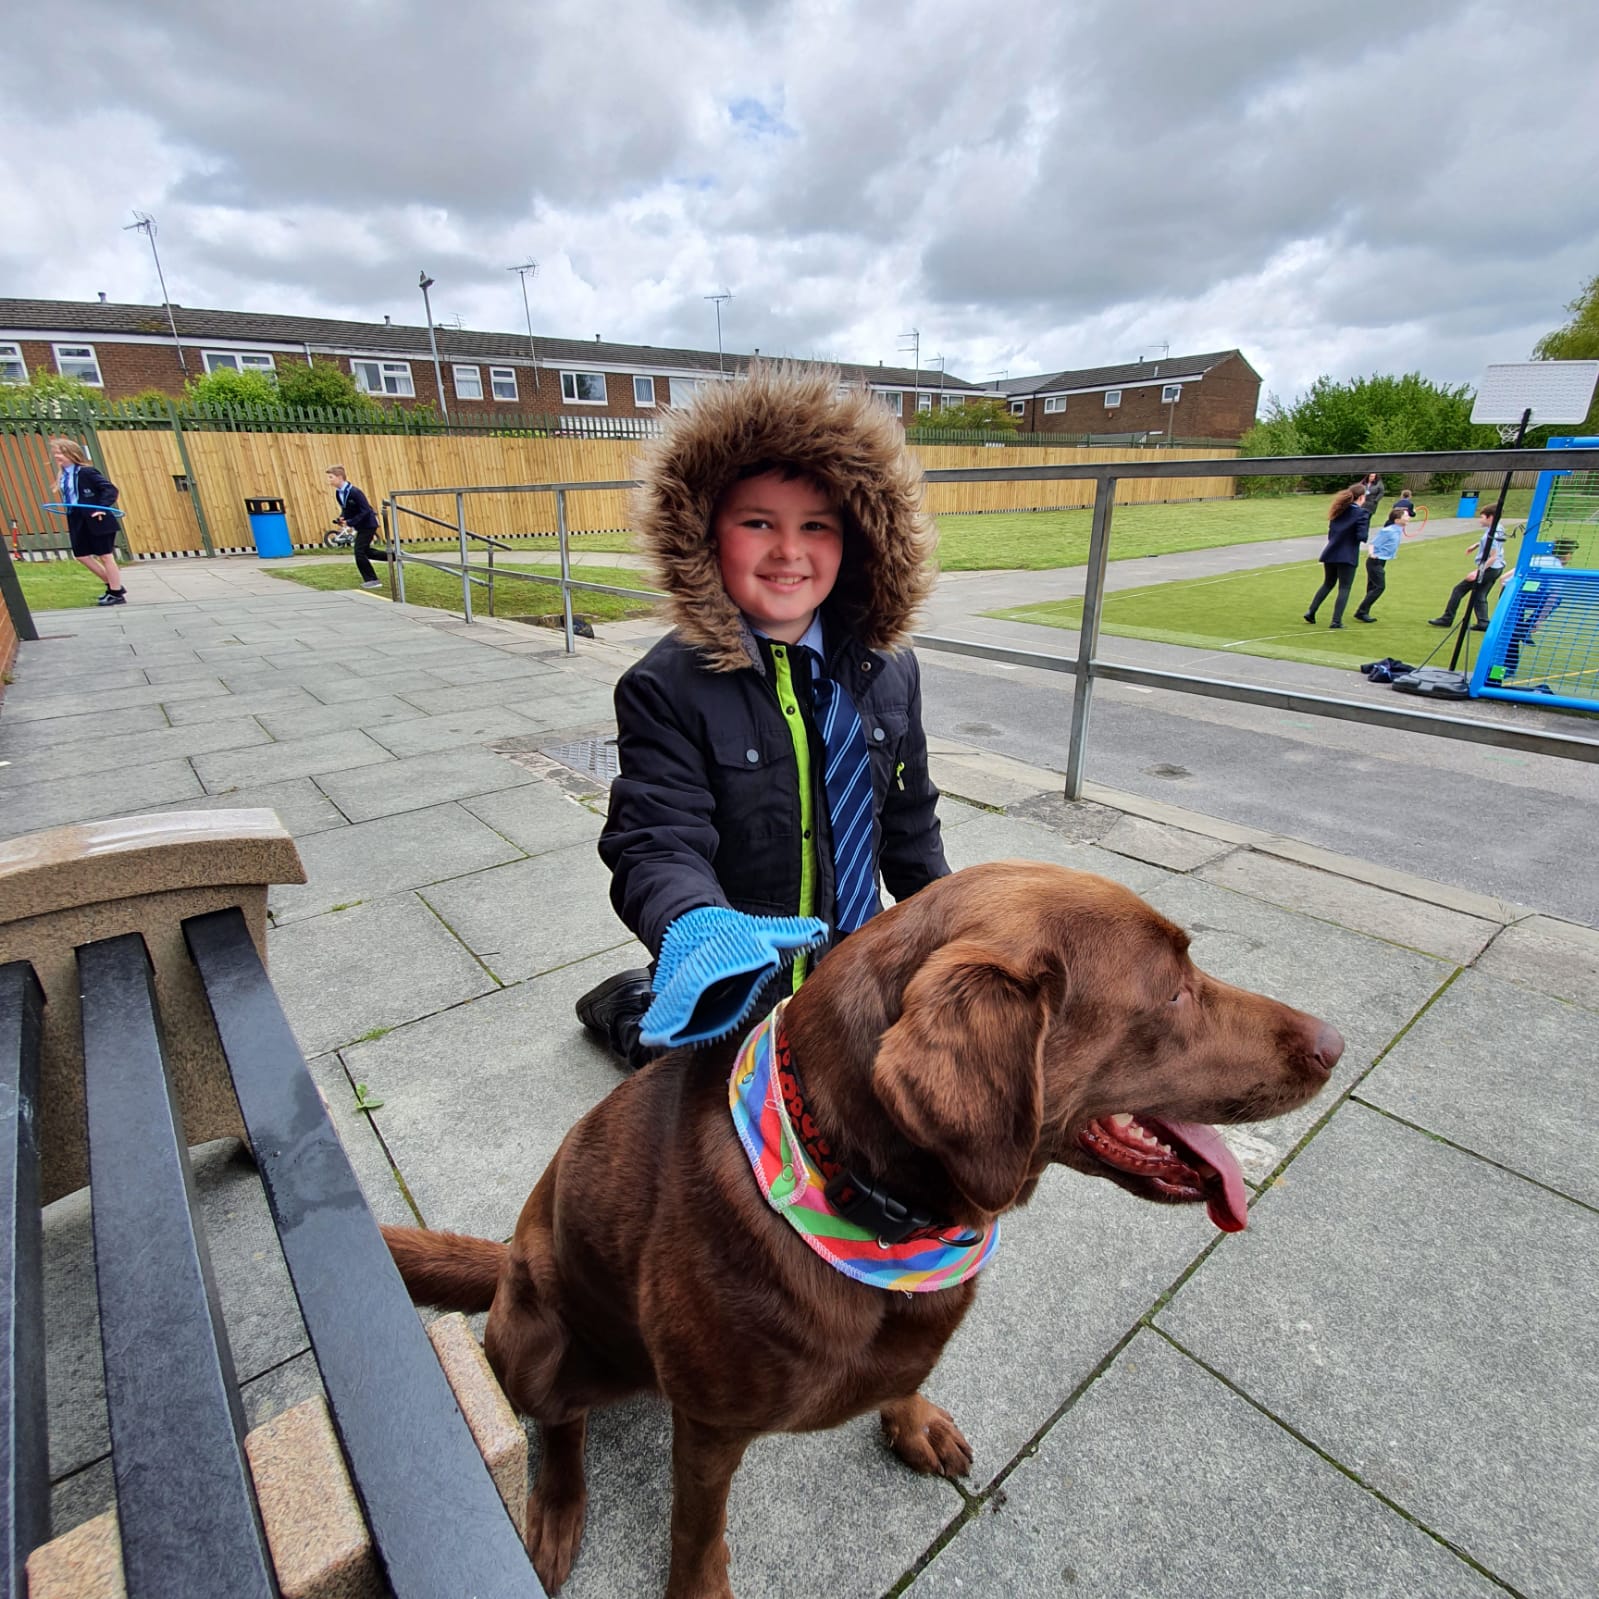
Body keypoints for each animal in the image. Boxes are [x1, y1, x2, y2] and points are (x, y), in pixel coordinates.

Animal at [383, 869, 1336, 1592]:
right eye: (1172, 990)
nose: (1334, 1040)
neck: (870, 1209)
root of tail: (510, 1255)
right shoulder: (708, 1432)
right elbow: (697, 1532)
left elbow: (907, 1372)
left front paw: (908, 1417)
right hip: (535, 1336)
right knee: (561, 1422)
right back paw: (554, 1508)